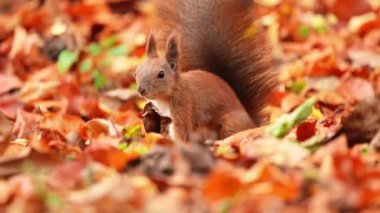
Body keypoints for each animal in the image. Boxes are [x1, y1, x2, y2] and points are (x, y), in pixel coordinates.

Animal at [135, 0, 274, 143]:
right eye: (136, 72)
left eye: (161, 74)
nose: (141, 90)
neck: (169, 94)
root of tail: (253, 123)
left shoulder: (182, 105)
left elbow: (181, 133)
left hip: (230, 123)